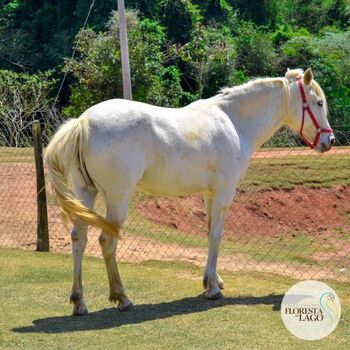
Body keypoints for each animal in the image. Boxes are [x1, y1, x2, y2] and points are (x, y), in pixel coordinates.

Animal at [45, 67, 334, 314]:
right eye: (319, 103)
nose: (330, 140)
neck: (235, 121)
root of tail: (84, 122)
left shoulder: (209, 195)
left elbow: (208, 233)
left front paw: (211, 279)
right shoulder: (224, 193)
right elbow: (217, 234)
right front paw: (213, 289)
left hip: (85, 193)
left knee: (78, 239)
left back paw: (79, 302)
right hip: (118, 198)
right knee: (107, 241)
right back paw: (122, 297)